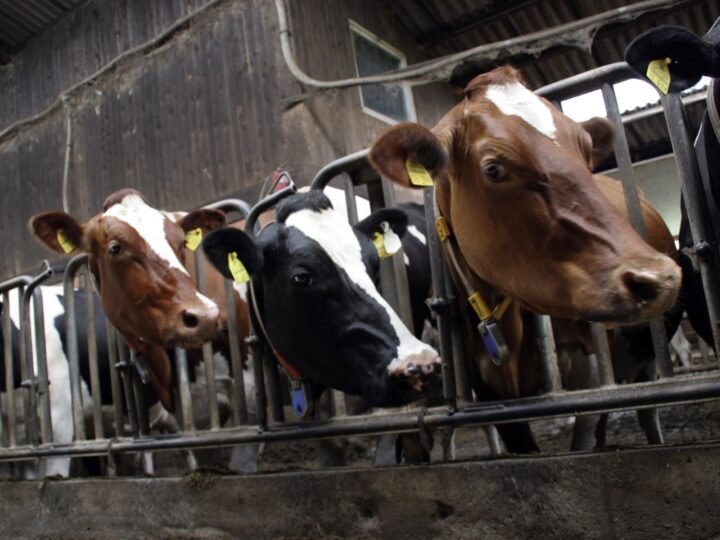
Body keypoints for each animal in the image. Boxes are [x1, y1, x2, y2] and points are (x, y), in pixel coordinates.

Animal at [372, 63, 680, 452]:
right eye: (493, 169)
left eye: (585, 151)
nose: (656, 277)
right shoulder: (489, 392)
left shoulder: (595, 372)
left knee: (647, 412)